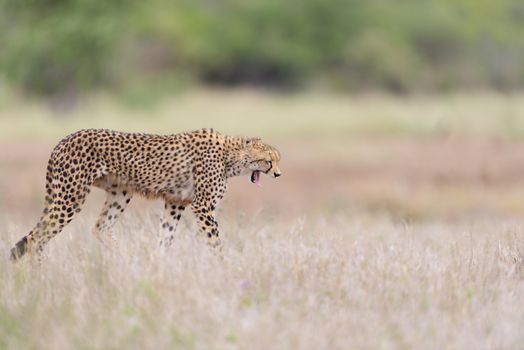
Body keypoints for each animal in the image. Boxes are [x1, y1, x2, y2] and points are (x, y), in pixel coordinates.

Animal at [10, 128, 280, 260]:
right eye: (268, 161)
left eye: (277, 160)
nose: (278, 174)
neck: (231, 156)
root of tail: (63, 139)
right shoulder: (202, 206)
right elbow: (215, 242)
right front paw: (224, 266)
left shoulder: (175, 201)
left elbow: (165, 237)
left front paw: (159, 263)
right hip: (70, 197)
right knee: (35, 238)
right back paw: (40, 277)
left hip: (120, 193)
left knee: (100, 228)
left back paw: (125, 257)